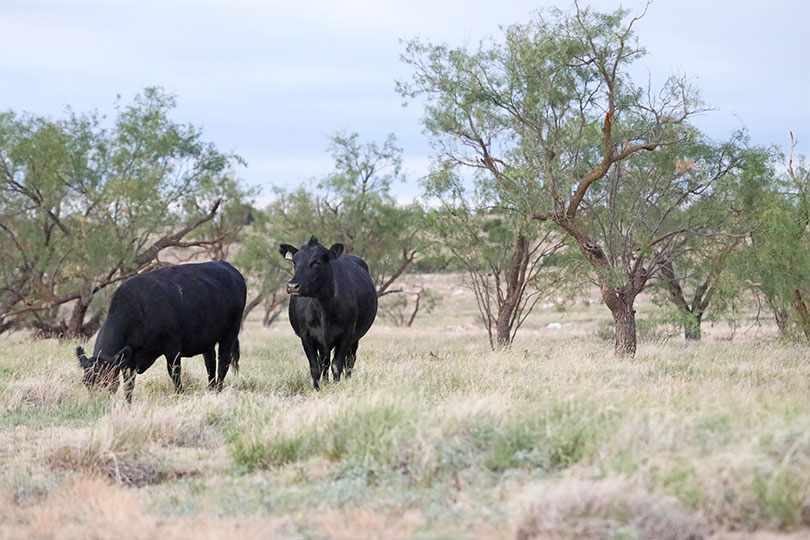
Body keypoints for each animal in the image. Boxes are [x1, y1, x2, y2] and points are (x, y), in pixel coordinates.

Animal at [76, 262, 246, 400]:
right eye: (85, 382)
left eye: (106, 380)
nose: (98, 402)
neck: (138, 310)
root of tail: (228, 267)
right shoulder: (129, 361)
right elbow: (128, 385)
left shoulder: (172, 346)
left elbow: (174, 373)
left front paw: (179, 395)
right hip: (207, 340)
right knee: (210, 364)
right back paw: (211, 390)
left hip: (230, 334)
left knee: (223, 363)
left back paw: (218, 391)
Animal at [280, 236, 378, 388]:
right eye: (294, 262)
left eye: (316, 262)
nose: (292, 286)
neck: (323, 308)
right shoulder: (306, 335)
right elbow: (315, 367)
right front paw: (317, 389)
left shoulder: (347, 333)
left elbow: (337, 364)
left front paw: (336, 387)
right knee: (324, 362)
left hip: (354, 339)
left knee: (349, 361)